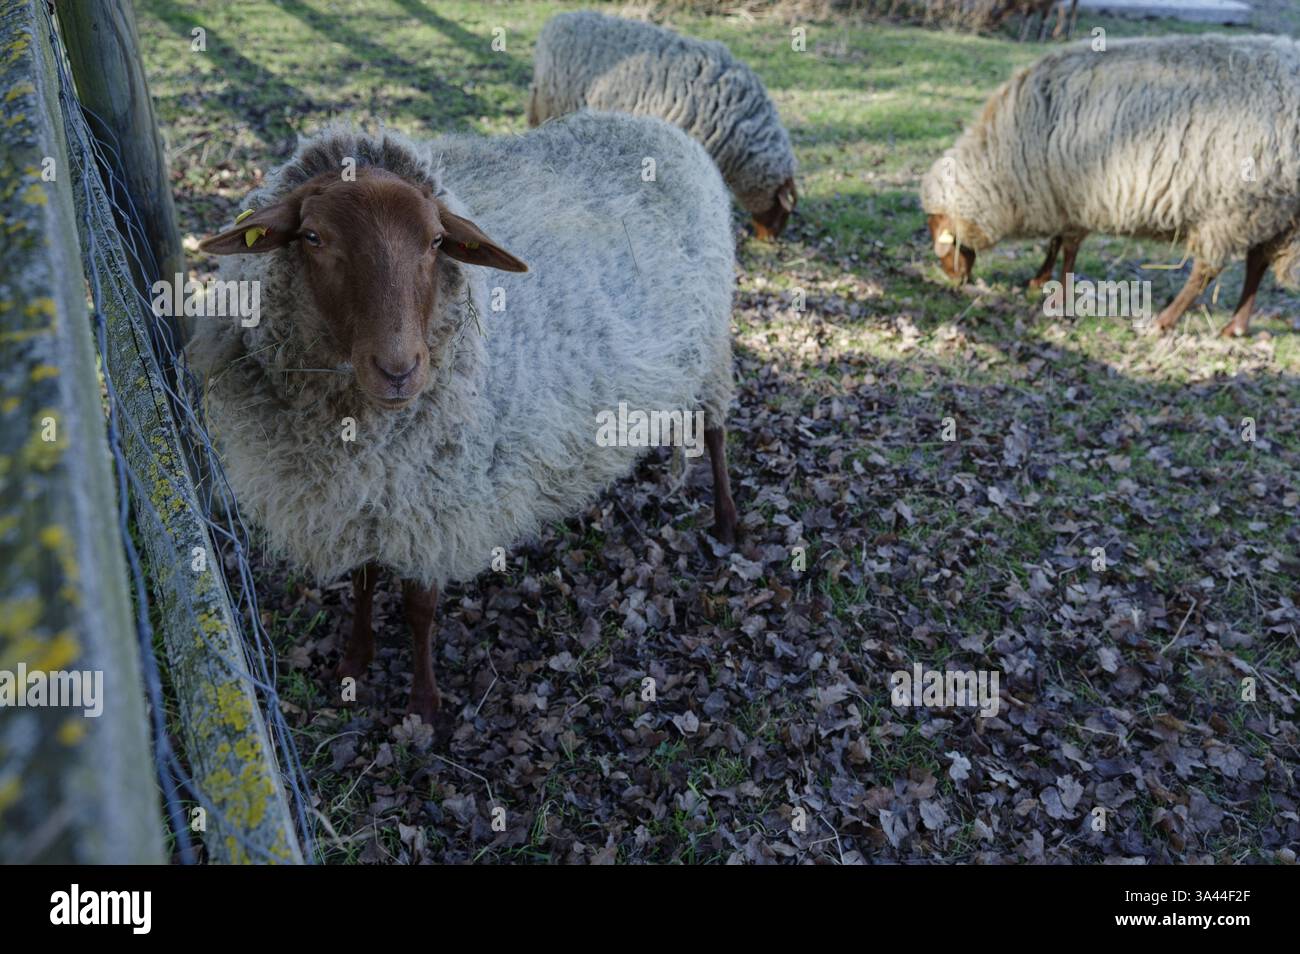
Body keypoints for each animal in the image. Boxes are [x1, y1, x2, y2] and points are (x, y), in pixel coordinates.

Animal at [188, 114, 738, 722]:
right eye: (313, 238)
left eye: (435, 241)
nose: (400, 370)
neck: (360, 431)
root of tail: (653, 123)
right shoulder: (364, 499)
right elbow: (362, 580)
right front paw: (356, 659)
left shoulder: (437, 500)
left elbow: (418, 607)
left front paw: (425, 704)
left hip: (714, 340)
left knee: (716, 430)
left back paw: (726, 521)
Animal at [920, 33, 1300, 336]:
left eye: (940, 232)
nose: (954, 278)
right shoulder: (1062, 198)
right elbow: (1055, 242)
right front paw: (1039, 280)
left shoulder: (1075, 195)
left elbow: (1068, 247)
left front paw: (1059, 296)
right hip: (1273, 209)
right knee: (1257, 263)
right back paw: (1235, 326)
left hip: (1235, 207)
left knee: (1207, 269)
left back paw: (1163, 321)